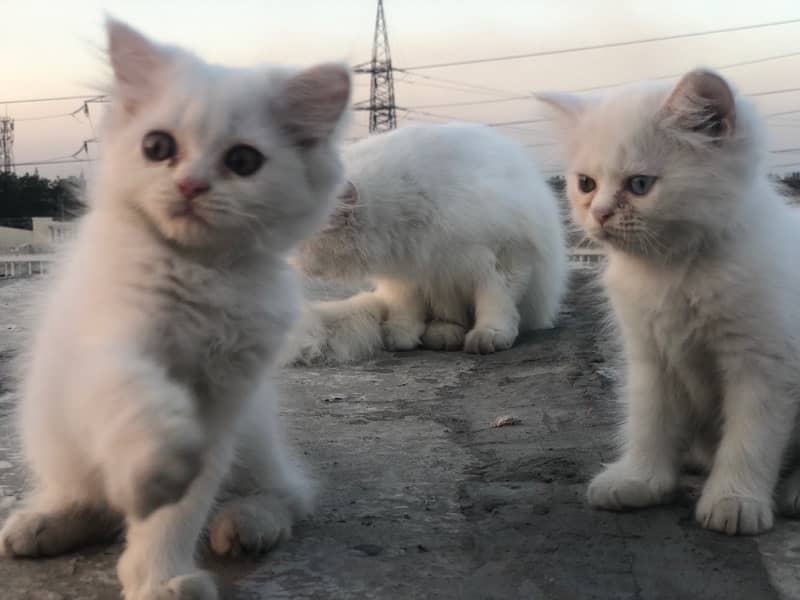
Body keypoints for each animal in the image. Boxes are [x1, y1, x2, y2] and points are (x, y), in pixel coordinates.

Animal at [0, 19, 350, 600]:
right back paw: (43, 523)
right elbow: (136, 400)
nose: (190, 184)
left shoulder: (225, 396)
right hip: (53, 433)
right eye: (157, 147)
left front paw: (158, 577)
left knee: (289, 493)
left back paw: (248, 524)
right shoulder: (108, 345)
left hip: (254, 437)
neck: (197, 272)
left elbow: (181, 509)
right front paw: (156, 467)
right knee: (91, 499)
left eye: (242, 162)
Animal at [288, 123, 568, 366]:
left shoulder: (505, 257)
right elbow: (405, 309)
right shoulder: (406, 274)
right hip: (440, 281)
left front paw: (490, 335)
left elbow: (496, 302)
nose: (287, 262)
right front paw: (399, 335)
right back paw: (441, 335)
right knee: (446, 318)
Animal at [540, 70, 800, 536]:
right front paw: (641, 480)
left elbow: (750, 438)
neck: (673, 272)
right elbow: (648, 422)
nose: (599, 213)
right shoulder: (650, 355)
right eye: (586, 184)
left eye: (639, 185)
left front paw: (734, 499)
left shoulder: (764, 362)